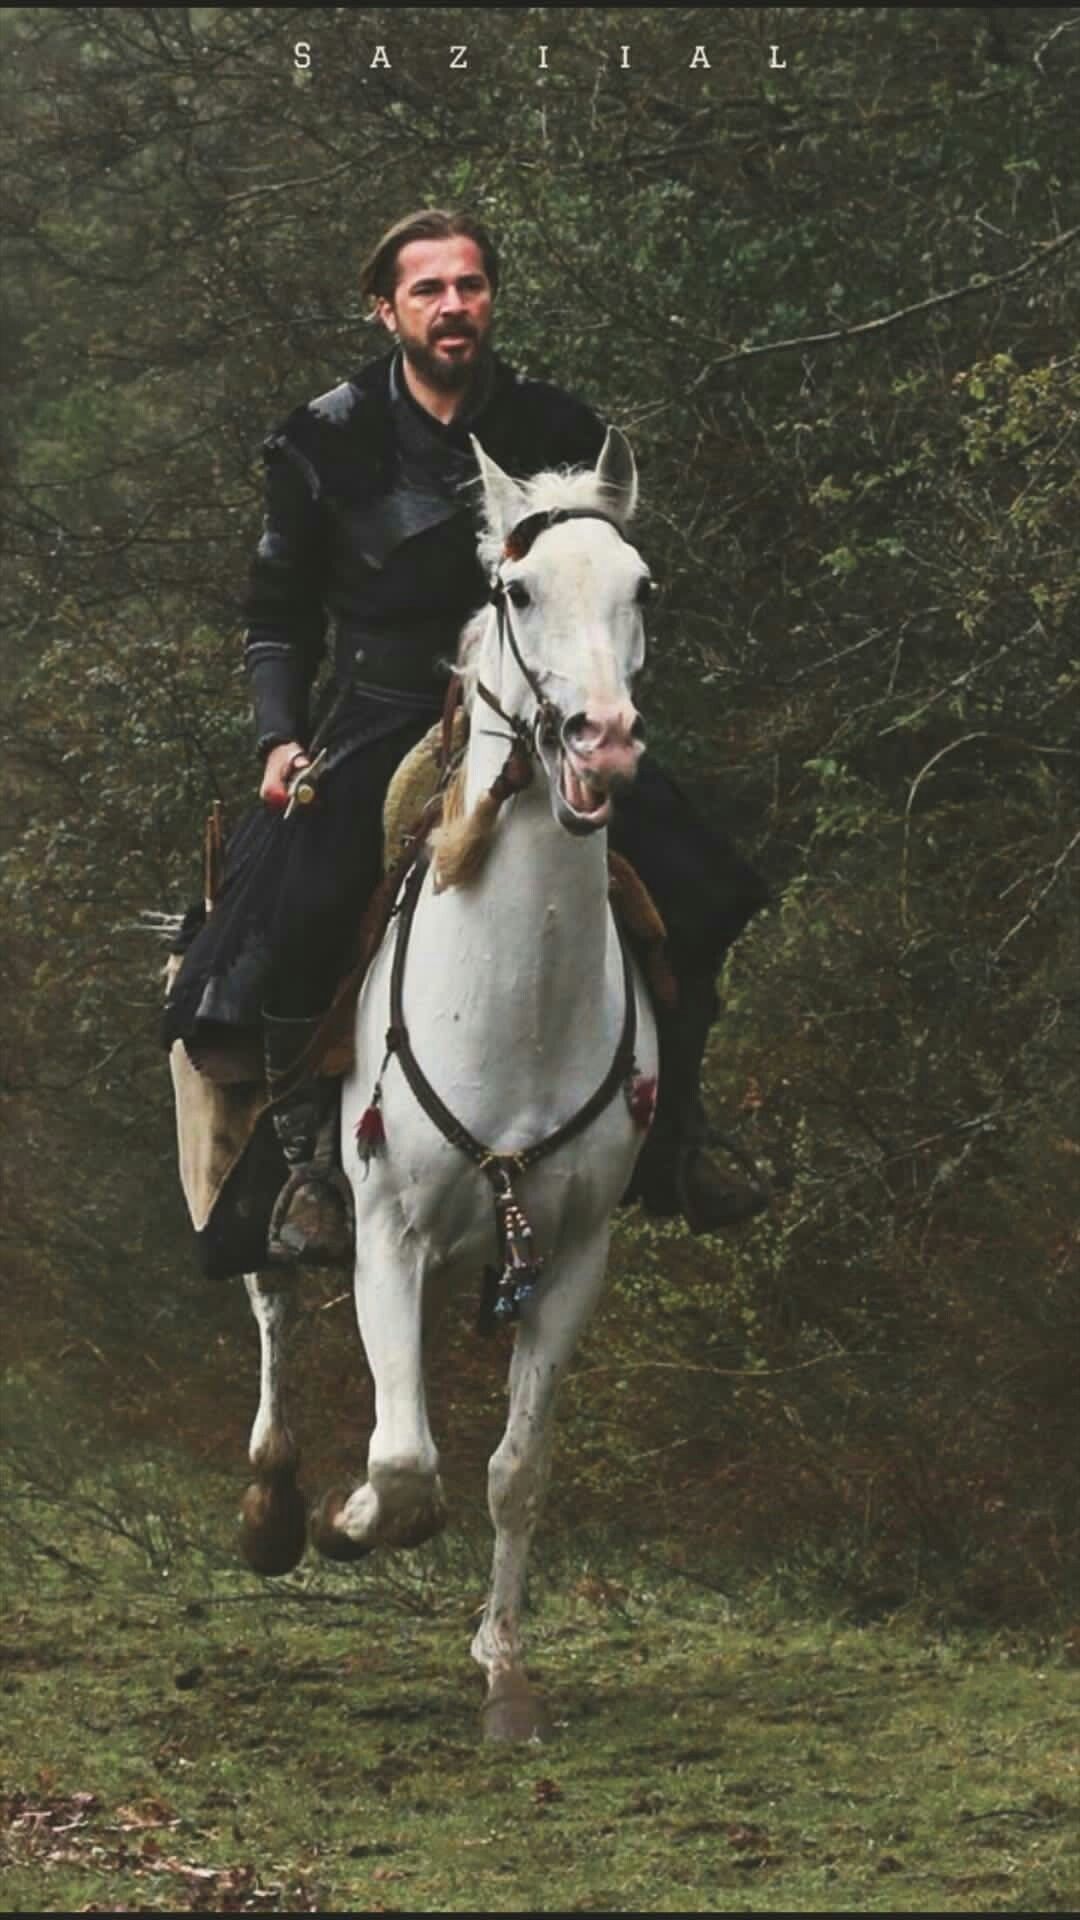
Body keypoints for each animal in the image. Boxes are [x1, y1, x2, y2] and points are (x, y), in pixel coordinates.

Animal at [239, 426, 660, 1743]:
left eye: (642, 588)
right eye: (516, 592)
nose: (602, 740)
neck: (515, 1003)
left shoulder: (570, 1255)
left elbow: (513, 1472)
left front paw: (504, 1669)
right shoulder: (391, 1233)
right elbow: (404, 1465)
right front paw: (343, 1524)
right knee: (272, 1299)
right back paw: (272, 1505)